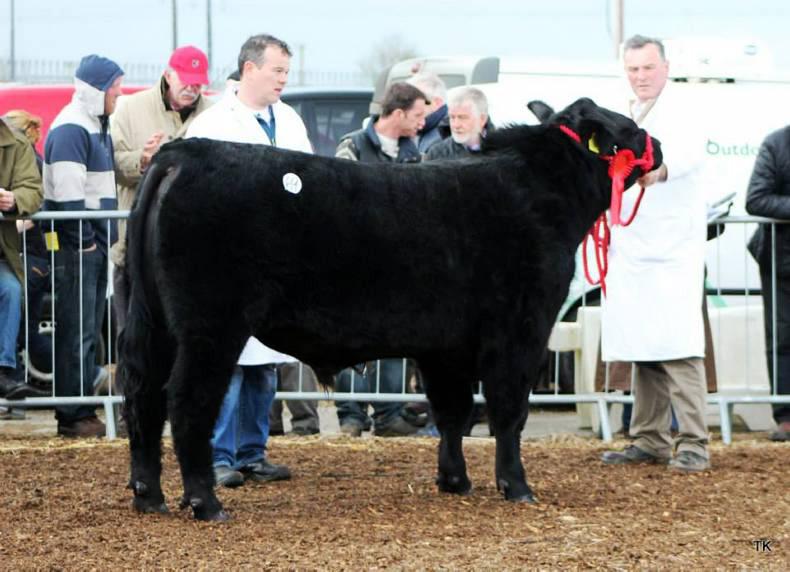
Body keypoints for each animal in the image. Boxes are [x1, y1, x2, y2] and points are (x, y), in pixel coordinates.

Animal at [118, 97, 662, 521]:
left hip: (152, 323)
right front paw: (516, 486)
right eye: (629, 129)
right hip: (210, 326)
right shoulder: (521, 330)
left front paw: (454, 480)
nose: (659, 146)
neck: (537, 191)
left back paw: (150, 496)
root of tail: (184, 152)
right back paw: (205, 502)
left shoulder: (446, 346)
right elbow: (508, 411)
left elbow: (452, 411)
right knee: (187, 400)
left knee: (141, 395)